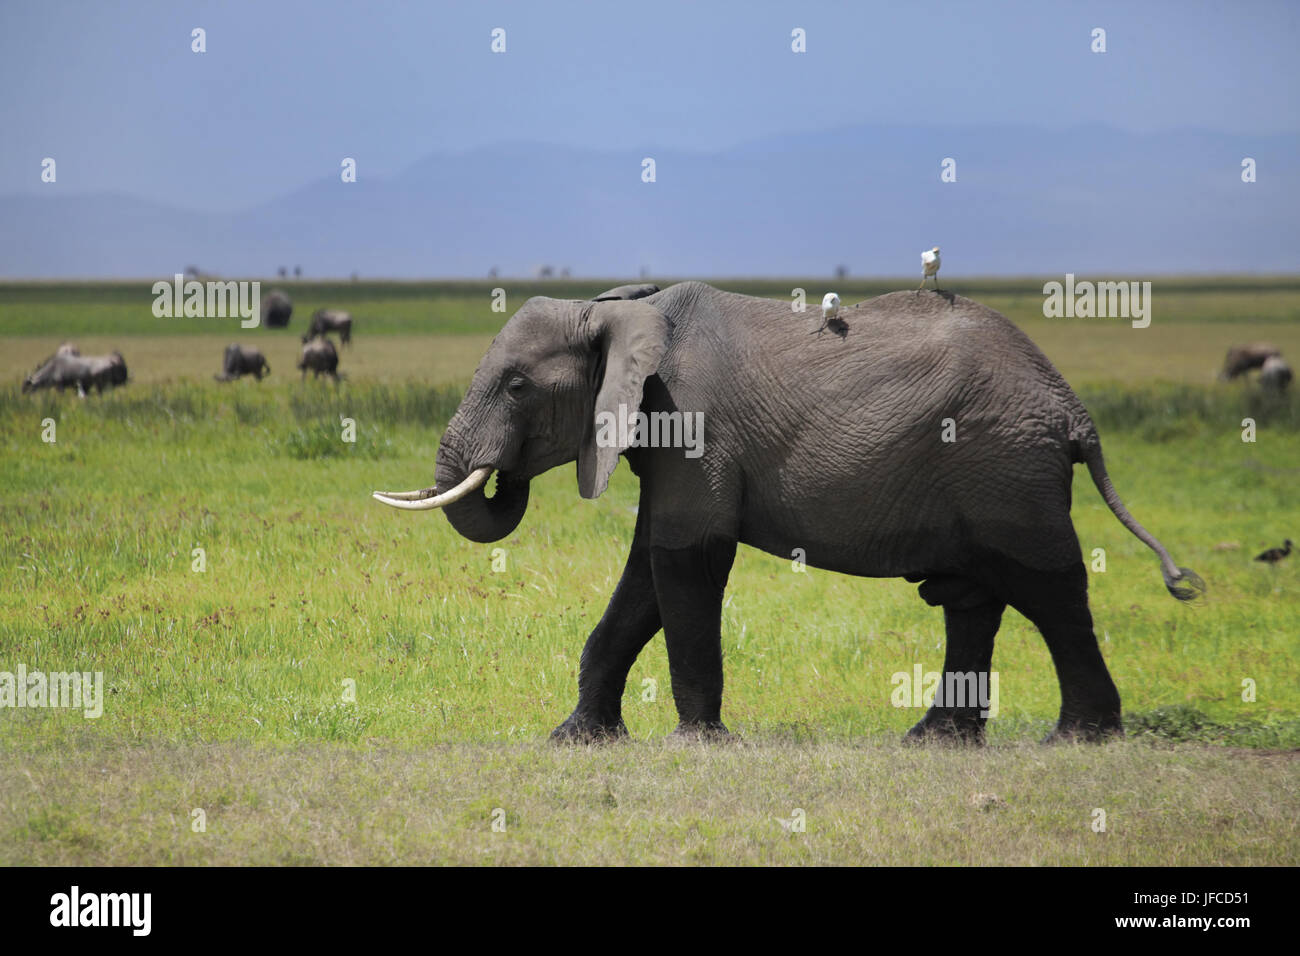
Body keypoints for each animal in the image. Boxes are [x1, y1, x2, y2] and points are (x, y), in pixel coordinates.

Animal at [372, 282, 1203, 744]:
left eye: (516, 386)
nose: (499, 476)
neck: (622, 310)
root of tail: (1073, 410)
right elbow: (645, 572)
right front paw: (575, 740)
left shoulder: (694, 423)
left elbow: (686, 561)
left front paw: (697, 744)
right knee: (973, 598)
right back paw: (933, 742)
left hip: (1007, 469)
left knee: (1051, 589)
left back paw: (1081, 739)